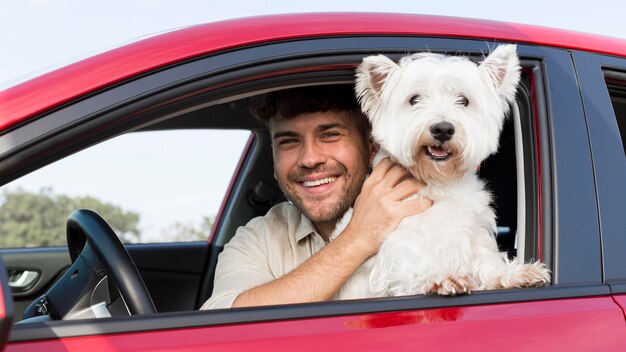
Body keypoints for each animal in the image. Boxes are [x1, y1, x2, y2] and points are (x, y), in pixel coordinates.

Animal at [332, 43, 544, 296]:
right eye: (414, 99)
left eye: (463, 101)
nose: (443, 129)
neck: (438, 181)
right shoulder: (394, 237)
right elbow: (411, 259)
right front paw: (442, 277)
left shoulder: (473, 234)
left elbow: (486, 259)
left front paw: (514, 274)